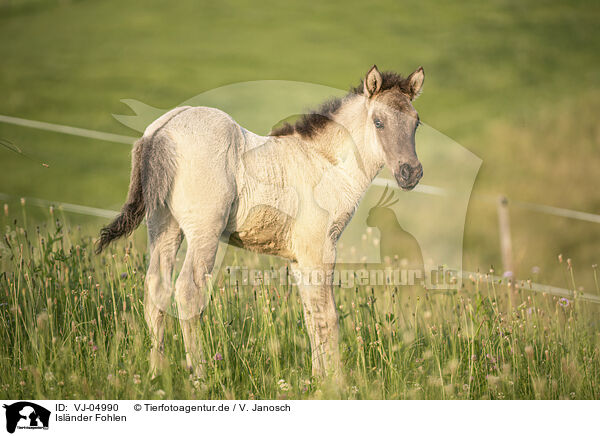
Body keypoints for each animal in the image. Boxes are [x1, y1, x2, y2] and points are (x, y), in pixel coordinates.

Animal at [96, 65, 424, 378]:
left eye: (416, 122)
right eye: (378, 122)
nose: (410, 172)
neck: (325, 164)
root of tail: (161, 131)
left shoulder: (300, 258)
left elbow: (311, 315)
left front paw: (318, 379)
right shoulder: (320, 249)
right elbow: (328, 316)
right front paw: (337, 382)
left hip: (164, 227)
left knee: (156, 290)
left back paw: (156, 374)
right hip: (204, 232)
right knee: (187, 292)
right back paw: (199, 376)